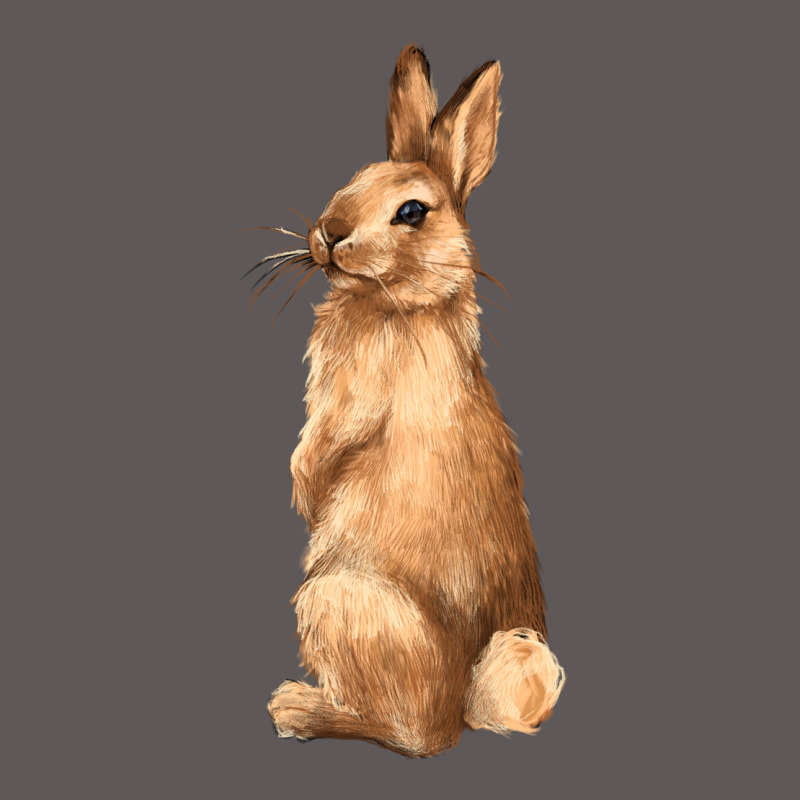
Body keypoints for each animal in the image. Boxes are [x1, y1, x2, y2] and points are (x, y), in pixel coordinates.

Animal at [264, 44, 564, 758]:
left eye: (411, 212)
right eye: (354, 177)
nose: (329, 233)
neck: (401, 303)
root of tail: (467, 701)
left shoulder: (351, 399)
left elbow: (319, 452)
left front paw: (305, 495)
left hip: (334, 601)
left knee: (416, 736)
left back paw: (297, 709)